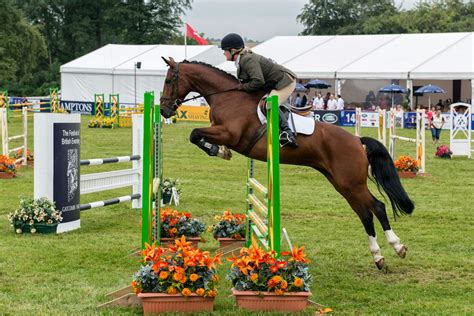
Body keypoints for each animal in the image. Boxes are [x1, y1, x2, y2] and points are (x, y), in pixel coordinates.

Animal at [160, 57, 414, 270]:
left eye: (169, 80)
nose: (163, 110)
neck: (228, 96)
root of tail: (356, 140)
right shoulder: (222, 132)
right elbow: (197, 135)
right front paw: (219, 151)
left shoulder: (230, 134)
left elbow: (194, 133)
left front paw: (216, 150)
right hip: (342, 183)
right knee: (364, 213)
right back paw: (378, 257)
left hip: (351, 182)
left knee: (377, 207)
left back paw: (398, 247)